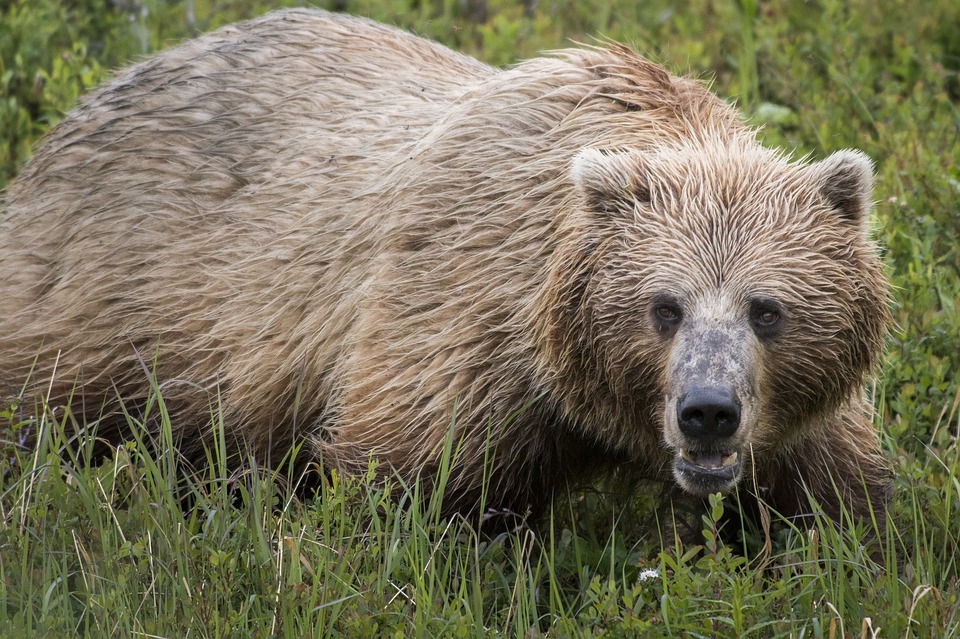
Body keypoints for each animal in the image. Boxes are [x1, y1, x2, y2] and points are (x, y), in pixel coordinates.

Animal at [0, 8, 892, 528]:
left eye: (766, 307)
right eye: (663, 306)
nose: (708, 411)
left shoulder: (793, 415)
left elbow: (829, 497)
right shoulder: (458, 323)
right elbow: (408, 482)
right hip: (111, 291)